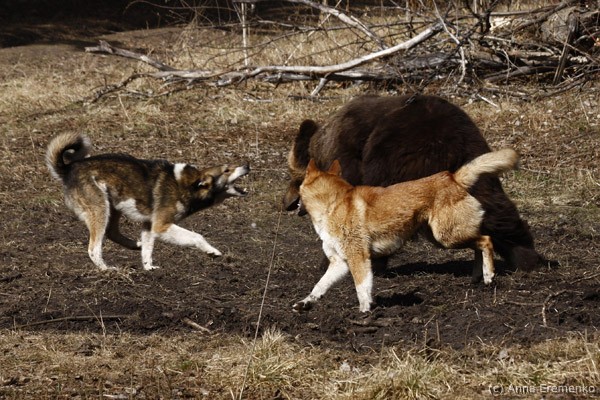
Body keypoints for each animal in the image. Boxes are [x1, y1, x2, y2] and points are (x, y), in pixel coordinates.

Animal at [46, 132, 249, 271]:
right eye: (227, 170)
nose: (247, 165)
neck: (187, 185)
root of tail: (68, 168)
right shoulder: (161, 225)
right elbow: (196, 236)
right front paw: (211, 251)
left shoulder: (149, 225)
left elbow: (148, 250)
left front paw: (149, 268)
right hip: (101, 210)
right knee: (93, 249)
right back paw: (106, 269)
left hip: (113, 208)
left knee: (112, 234)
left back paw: (135, 245)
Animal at [284, 94, 541, 279]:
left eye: (295, 178)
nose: (287, 203)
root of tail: (443, 143)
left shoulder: (350, 162)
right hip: (472, 156)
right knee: (497, 208)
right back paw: (526, 257)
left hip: (392, 162)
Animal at [294, 148, 519, 312]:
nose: (294, 207)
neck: (333, 204)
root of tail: (452, 177)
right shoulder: (340, 262)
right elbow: (320, 286)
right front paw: (305, 303)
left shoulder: (358, 258)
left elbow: (362, 287)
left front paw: (365, 312)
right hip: (443, 236)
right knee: (478, 246)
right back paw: (477, 277)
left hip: (446, 236)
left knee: (486, 240)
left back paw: (489, 275)